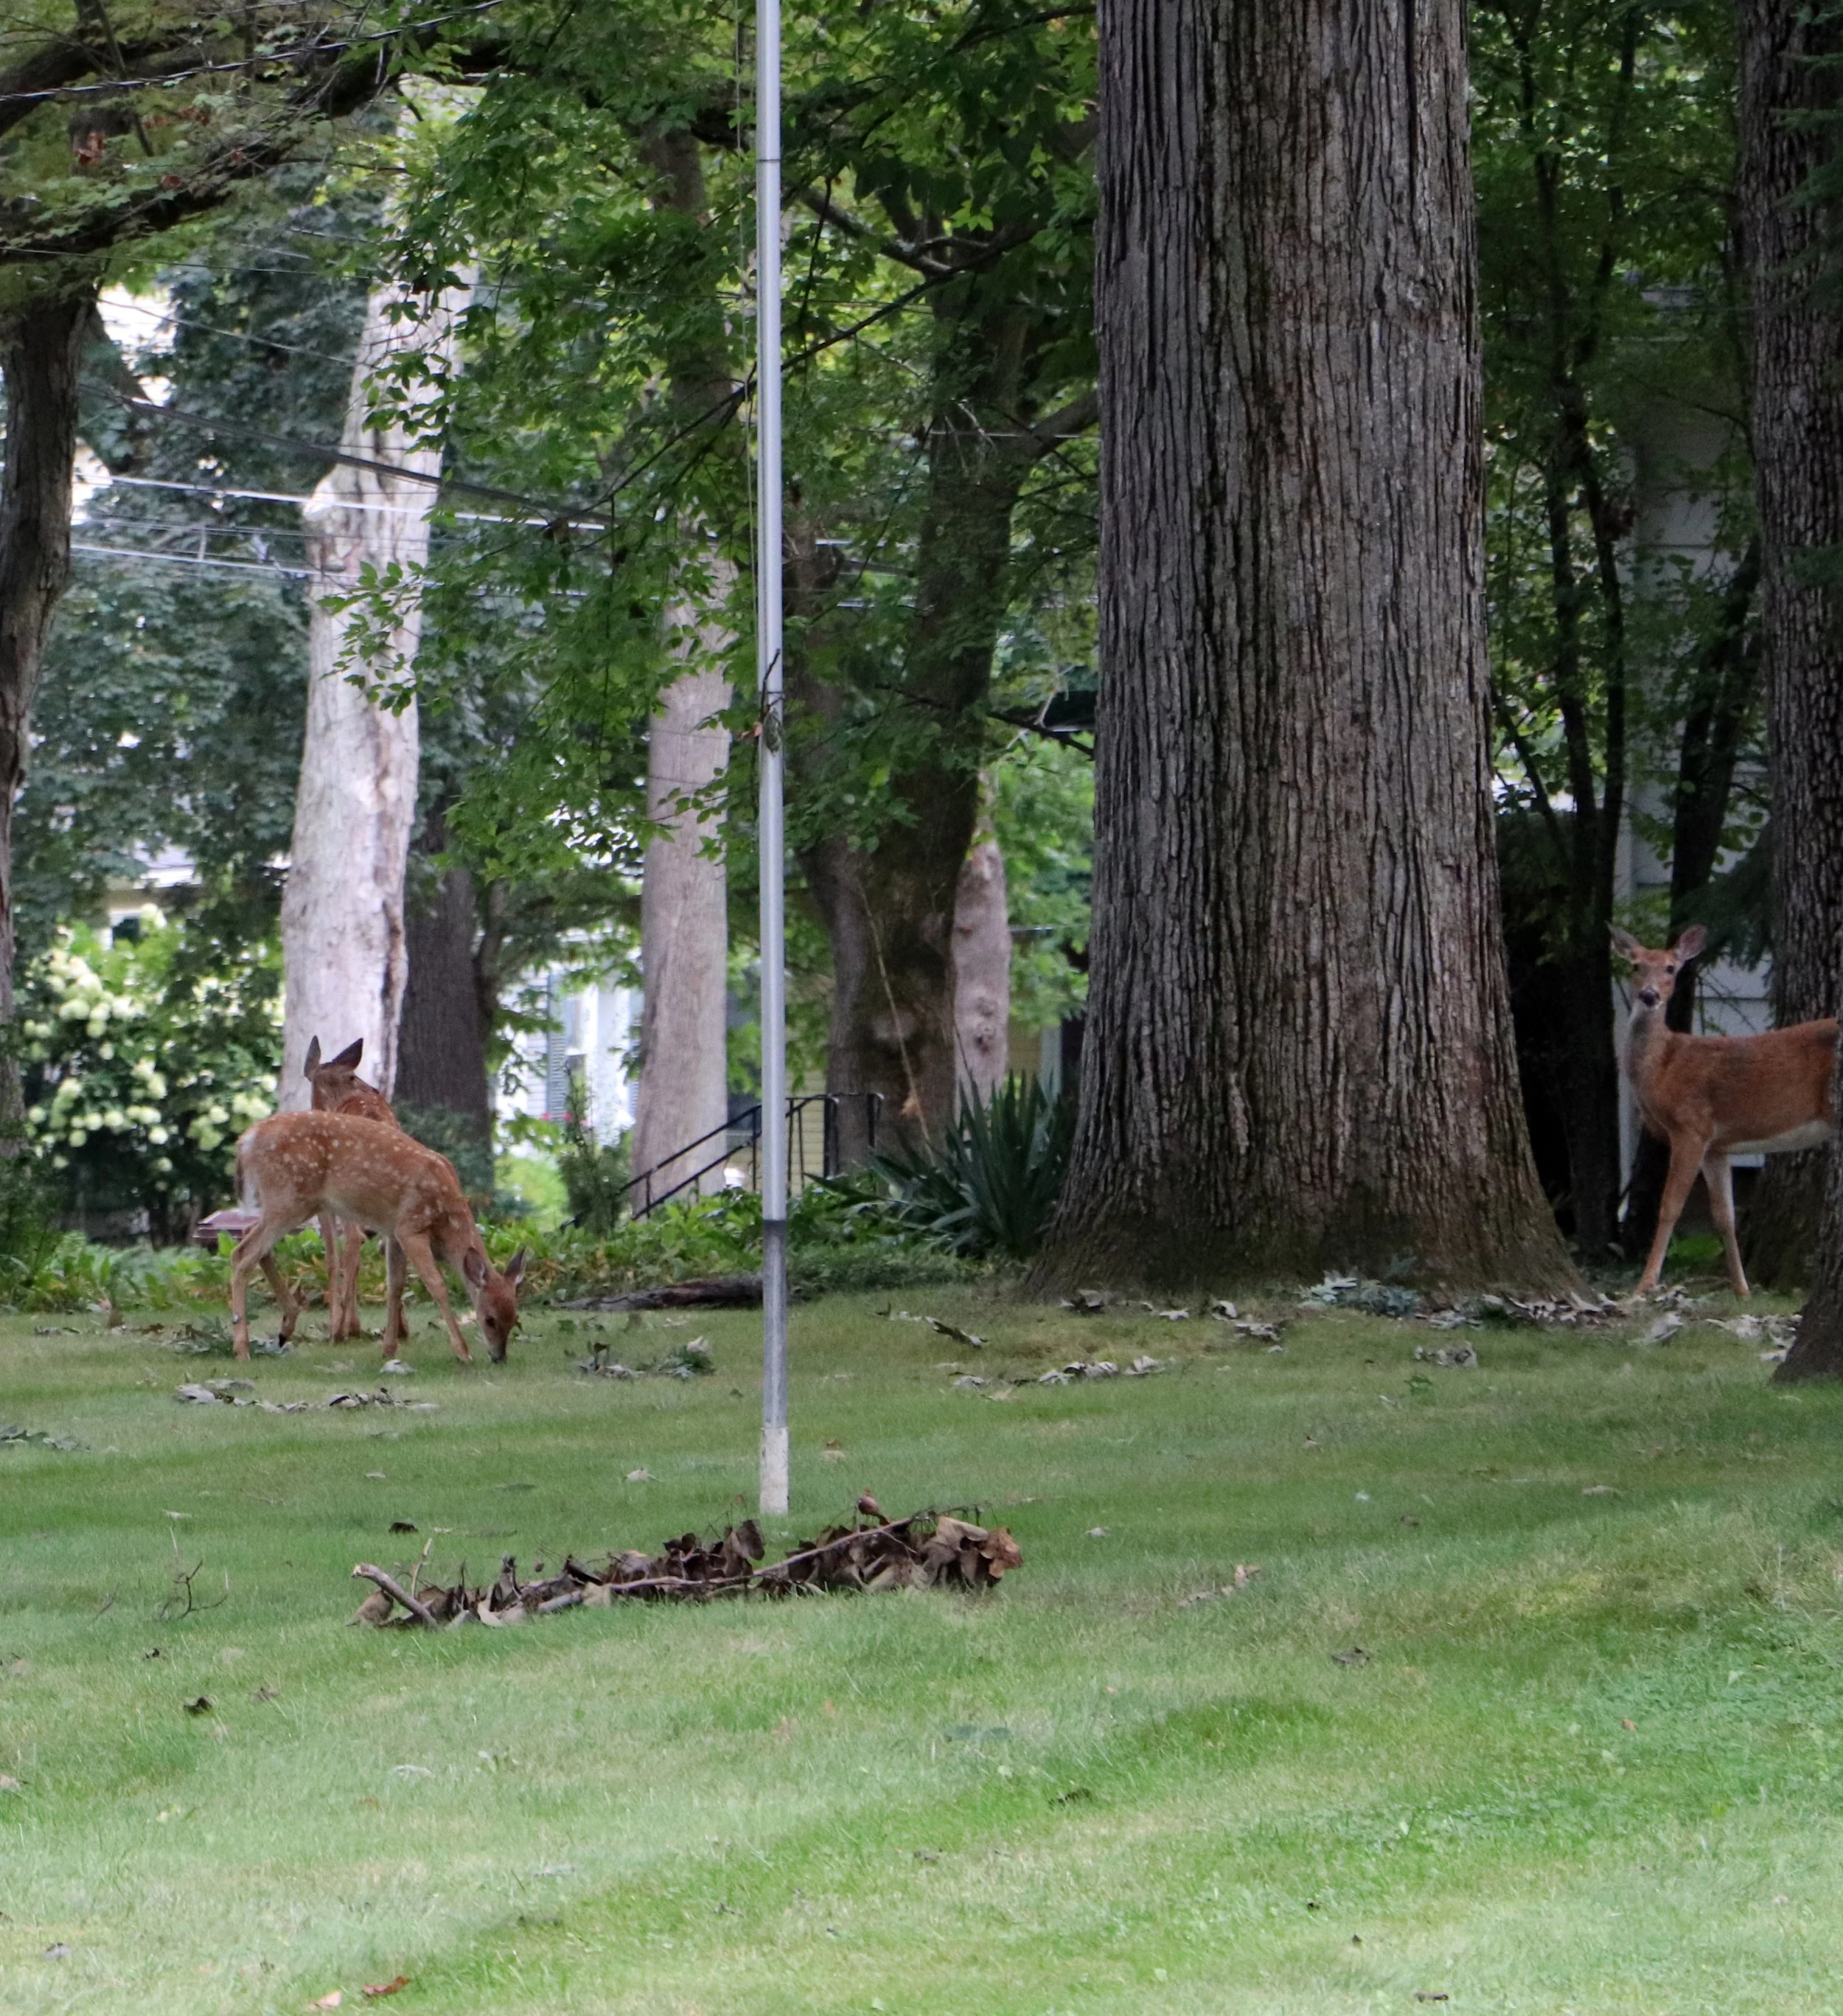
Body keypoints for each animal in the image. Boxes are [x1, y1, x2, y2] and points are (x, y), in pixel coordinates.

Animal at [228, 1110, 525, 1365]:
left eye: (514, 1318)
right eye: (489, 1319)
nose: (499, 1357)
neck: (445, 1220)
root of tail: (247, 1140)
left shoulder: (394, 1233)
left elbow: (395, 1286)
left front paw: (389, 1349)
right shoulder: (411, 1227)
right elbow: (436, 1285)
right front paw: (463, 1352)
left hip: (290, 1203)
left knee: (251, 1243)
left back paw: (285, 1327)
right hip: (290, 1198)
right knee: (242, 1253)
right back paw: (242, 1350)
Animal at [1612, 924, 1838, 1297]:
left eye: (1671, 968)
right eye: (1636, 966)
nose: (1648, 996)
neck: (1663, 1067)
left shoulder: (1691, 1126)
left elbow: (1670, 1206)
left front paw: (1645, 1284)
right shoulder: (1716, 1145)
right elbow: (1725, 1216)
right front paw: (1742, 1289)